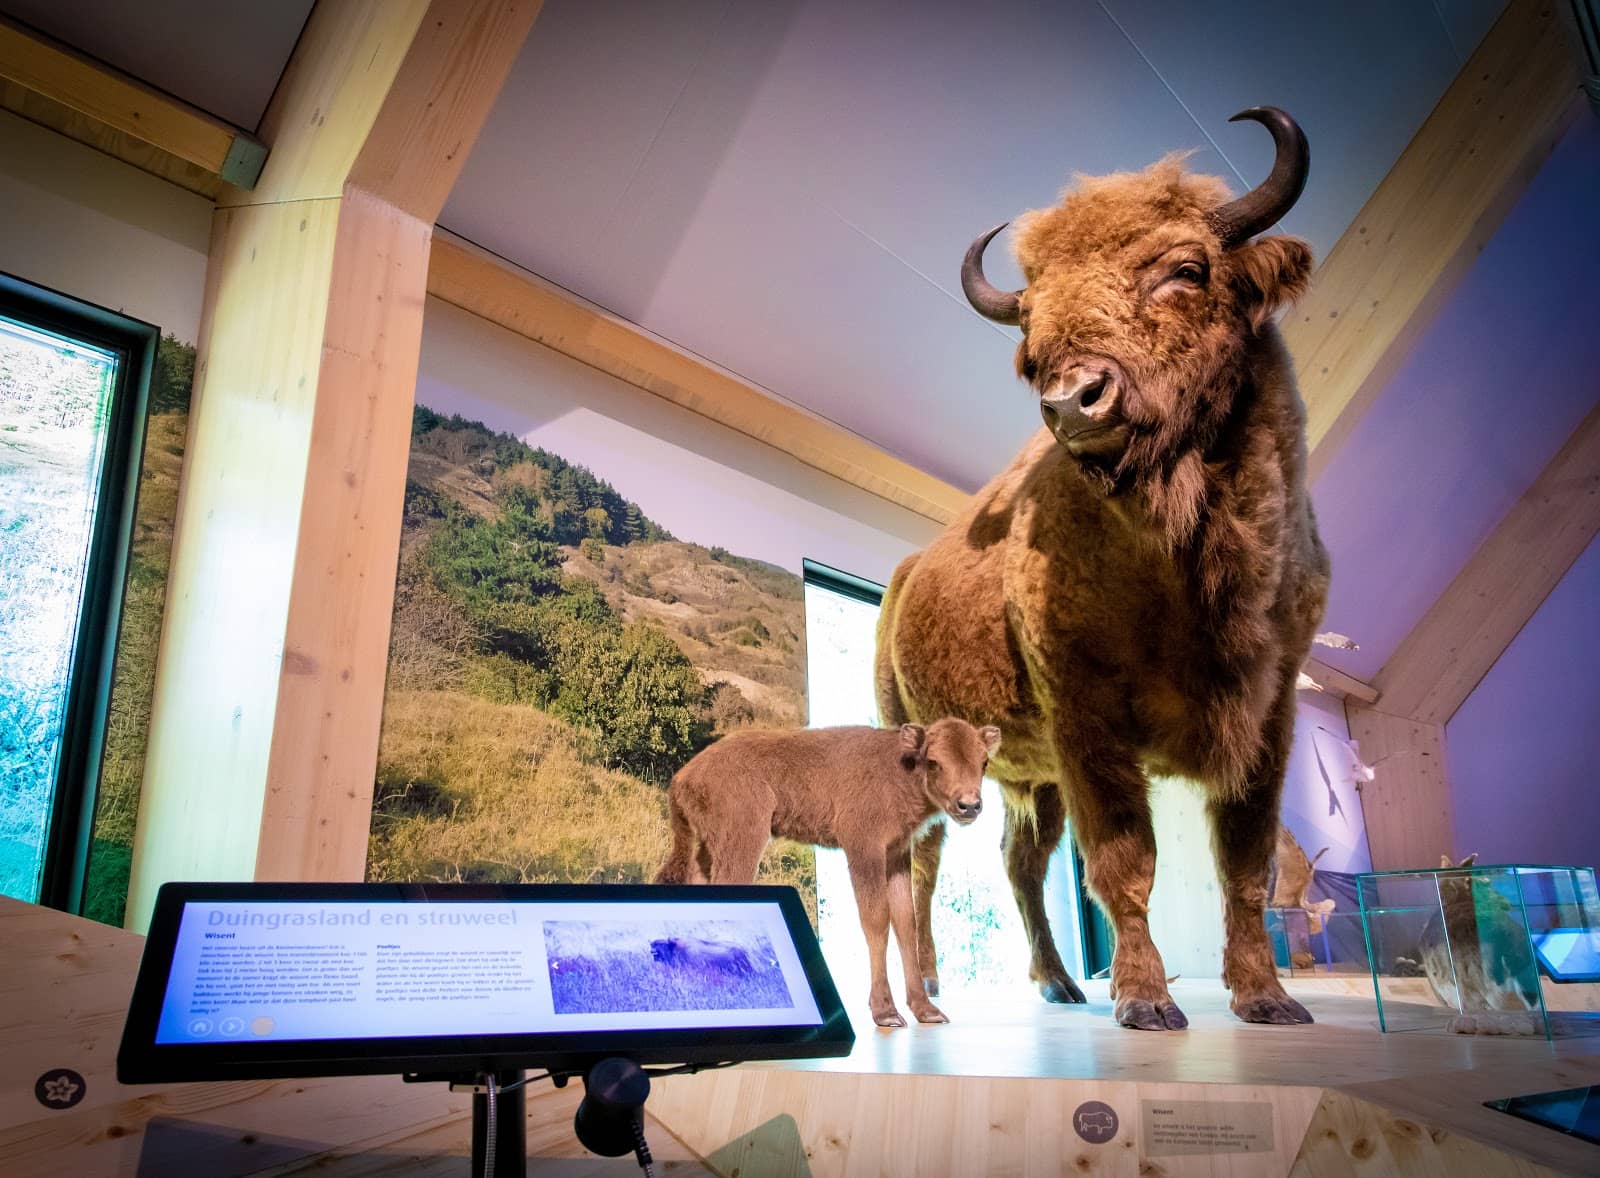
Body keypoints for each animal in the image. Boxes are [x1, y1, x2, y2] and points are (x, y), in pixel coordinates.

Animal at [876, 108, 1328, 1030]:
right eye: (1029, 343)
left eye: (1186, 270)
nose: (1074, 403)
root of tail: (901, 578)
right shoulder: (1087, 717)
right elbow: (1125, 860)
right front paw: (1148, 1002)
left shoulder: (1268, 718)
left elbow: (1245, 862)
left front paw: (1267, 1000)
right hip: (922, 742)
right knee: (927, 862)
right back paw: (933, 987)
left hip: (1026, 775)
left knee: (1017, 860)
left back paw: (1057, 982)